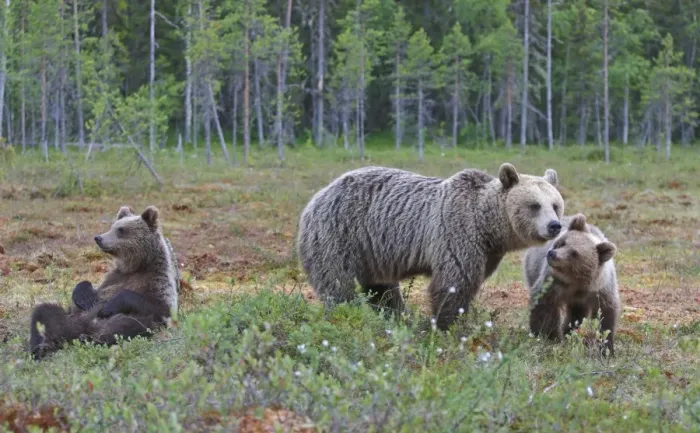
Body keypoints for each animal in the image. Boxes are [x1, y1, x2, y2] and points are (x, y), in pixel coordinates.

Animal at [29, 205, 179, 360]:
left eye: (121, 230)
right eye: (112, 226)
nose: (98, 238)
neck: (137, 266)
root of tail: (80, 330)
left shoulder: (158, 282)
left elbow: (161, 308)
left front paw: (109, 306)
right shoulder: (113, 278)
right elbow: (89, 291)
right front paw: (85, 297)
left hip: (120, 321)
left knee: (127, 325)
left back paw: (89, 339)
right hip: (71, 318)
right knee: (44, 313)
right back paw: (40, 347)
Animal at [296, 163, 564, 330]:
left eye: (555, 204)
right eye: (534, 205)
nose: (554, 225)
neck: (487, 225)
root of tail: (315, 199)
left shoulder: (488, 252)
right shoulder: (456, 233)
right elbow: (453, 283)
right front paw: (444, 325)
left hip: (374, 253)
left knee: (382, 290)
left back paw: (395, 316)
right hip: (340, 235)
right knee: (339, 284)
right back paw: (347, 313)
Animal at [523, 213, 620, 356]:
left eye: (574, 253)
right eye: (562, 243)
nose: (552, 254)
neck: (577, 282)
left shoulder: (601, 289)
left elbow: (606, 314)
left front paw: (606, 348)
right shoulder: (552, 283)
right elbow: (544, 306)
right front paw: (548, 336)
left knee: (576, 313)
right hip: (532, 267)